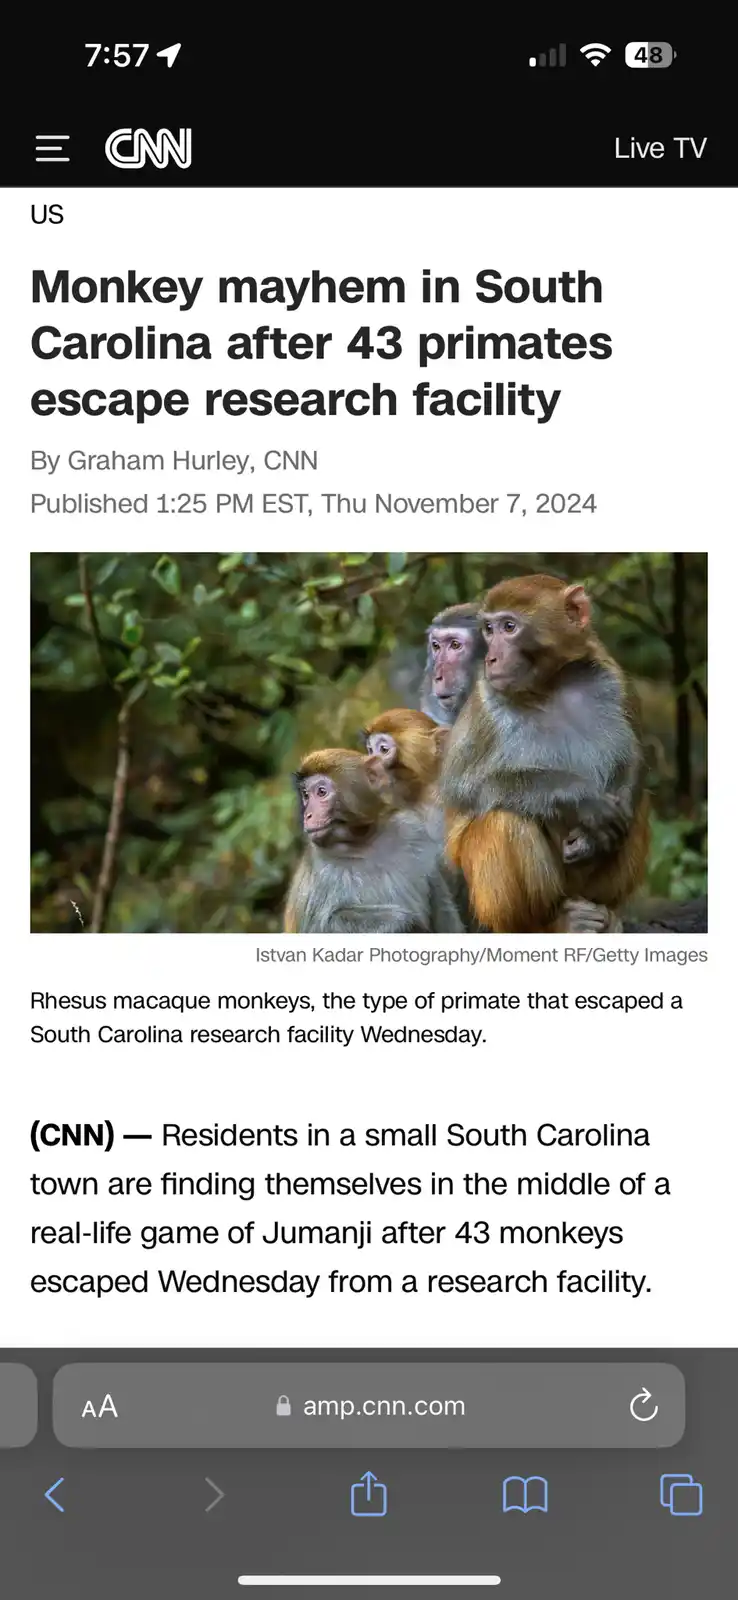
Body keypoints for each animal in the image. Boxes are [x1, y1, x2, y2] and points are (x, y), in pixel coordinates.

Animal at [284, 748, 464, 933]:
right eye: (306, 795)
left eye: (321, 792)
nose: (308, 815)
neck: (364, 842)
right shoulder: (321, 868)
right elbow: (319, 926)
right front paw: (405, 922)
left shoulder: (413, 832)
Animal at [439, 574, 650, 932]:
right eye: (489, 630)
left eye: (509, 627)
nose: (491, 659)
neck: (549, 685)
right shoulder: (484, 703)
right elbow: (464, 789)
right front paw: (582, 799)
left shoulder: (613, 678)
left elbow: (633, 756)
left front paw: (594, 836)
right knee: (504, 818)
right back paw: (548, 924)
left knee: (638, 808)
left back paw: (605, 913)